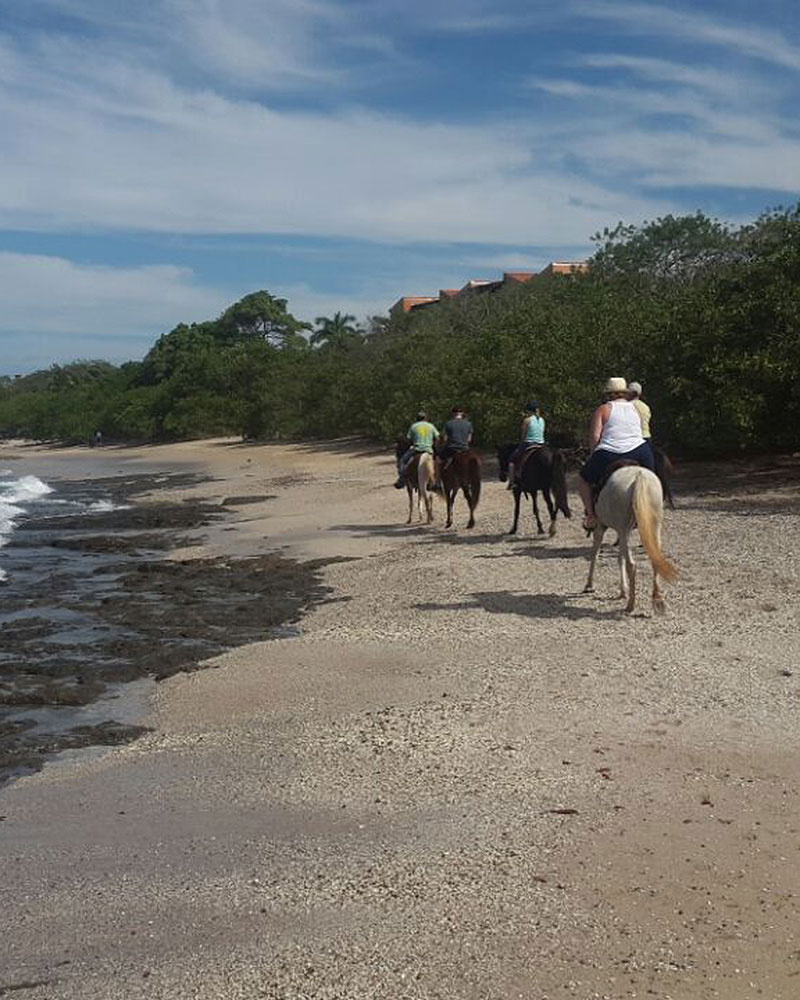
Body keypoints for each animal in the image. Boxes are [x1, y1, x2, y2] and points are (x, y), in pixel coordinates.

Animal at [584, 464, 680, 612]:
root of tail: (638, 477)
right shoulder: (622, 532)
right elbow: (620, 558)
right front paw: (623, 590)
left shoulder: (601, 527)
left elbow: (595, 553)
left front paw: (589, 585)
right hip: (653, 527)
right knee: (655, 559)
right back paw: (657, 599)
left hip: (623, 530)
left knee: (632, 564)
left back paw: (630, 604)